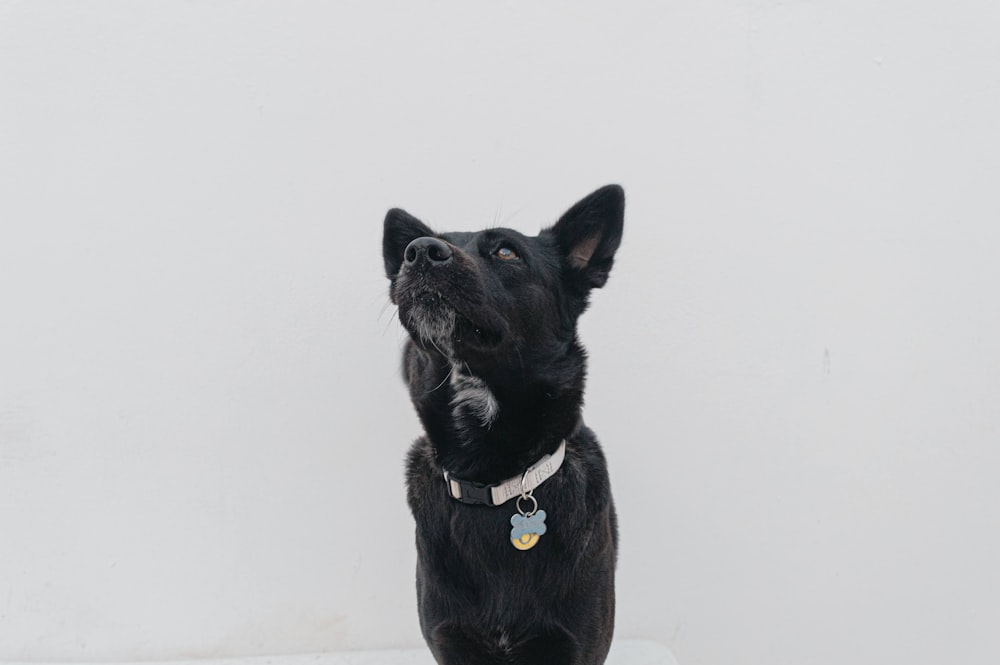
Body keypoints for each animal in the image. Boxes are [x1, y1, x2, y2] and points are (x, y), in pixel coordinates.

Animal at [384, 184, 624, 660]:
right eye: (405, 254)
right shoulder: (451, 641)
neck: (492, 476)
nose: (417, 252)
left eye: (507, 252)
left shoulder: (576, 646)